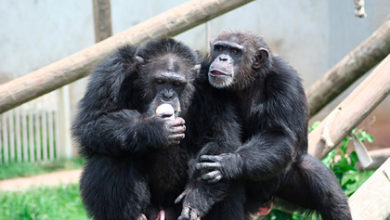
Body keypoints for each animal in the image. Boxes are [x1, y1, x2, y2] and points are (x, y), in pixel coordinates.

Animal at [72, 38, 242, 220]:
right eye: (159, 81)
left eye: (177, 84)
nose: (168, 95)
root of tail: (162, 212)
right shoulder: (111, 73)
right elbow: (92, 123)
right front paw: (154, 128)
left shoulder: (213, 90)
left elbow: (220, 140)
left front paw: (195, 197)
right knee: (110, 155)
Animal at [180, 32, 354, 220]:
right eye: (219, 48)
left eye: (235, 51)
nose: (223, 58)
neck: (248, 81)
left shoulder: (286, 82)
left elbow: (278, 133)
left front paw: (230, 163)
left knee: (327, 191)